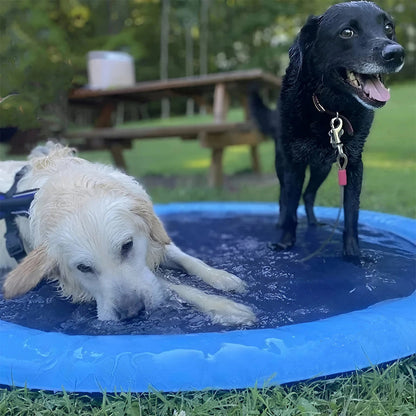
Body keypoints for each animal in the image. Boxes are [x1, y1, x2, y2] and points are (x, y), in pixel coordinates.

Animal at [0, 143, 256, 324]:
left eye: (127, 246)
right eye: (83, 268)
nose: (131, 311)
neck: (73, 189)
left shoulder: (154, 240)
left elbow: (188, 259)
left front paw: (222, 278)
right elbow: (171, 285)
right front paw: (224, 307)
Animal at [252, 1, 404, 258]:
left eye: (388, 28)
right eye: (347, 32)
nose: (397, 53)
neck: (332, 110)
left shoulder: (353, 164)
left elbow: (351, 213)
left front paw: (353, 255)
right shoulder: (294, 164)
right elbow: (290, 206)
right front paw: (285, 243)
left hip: (322, 168)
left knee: (309, 194)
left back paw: (314, 222)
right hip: (283, 162)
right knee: (284, 197)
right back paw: (282, 224)